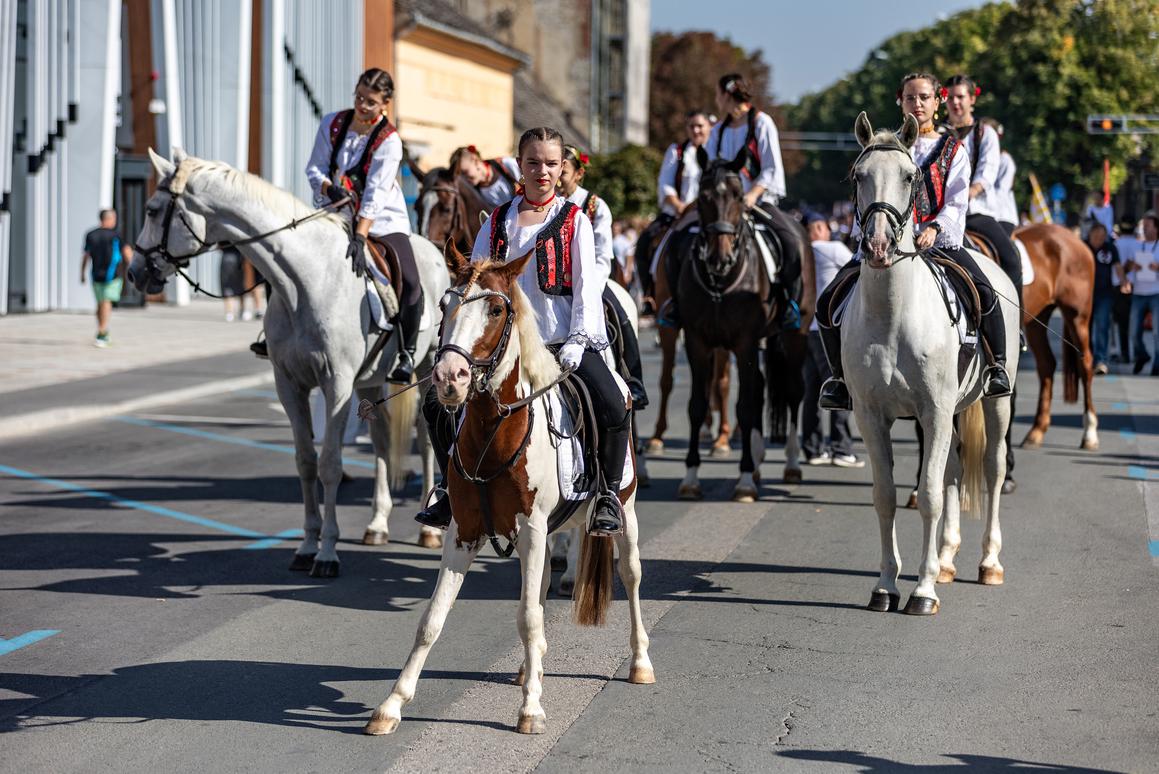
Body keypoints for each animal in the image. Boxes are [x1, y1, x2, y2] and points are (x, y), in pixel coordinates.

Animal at [130, 149, 447, 574]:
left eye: (151, 210)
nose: (135, 272)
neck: (305, 281)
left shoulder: (336, 386)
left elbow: (330, 465)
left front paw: (327, 553)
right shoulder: (289, 385)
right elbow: (306, 462)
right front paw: (307, 545)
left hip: (427, 370)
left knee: (426, 442)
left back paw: (429, 532)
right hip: (370, 381)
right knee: (381, 441)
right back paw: (378, 524)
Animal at [843, 114, 1015, 611]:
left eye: (909, 177)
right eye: (857, 176)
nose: (879, 245)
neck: (893, 314)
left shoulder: (934, 411)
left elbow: (931, 496)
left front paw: (922, 591)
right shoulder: (872, 414)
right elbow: (886, 496)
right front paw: (887, 584)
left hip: (995, 402)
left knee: (992, 468)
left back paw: (988, 563)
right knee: (955, 467)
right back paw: (947, 560)